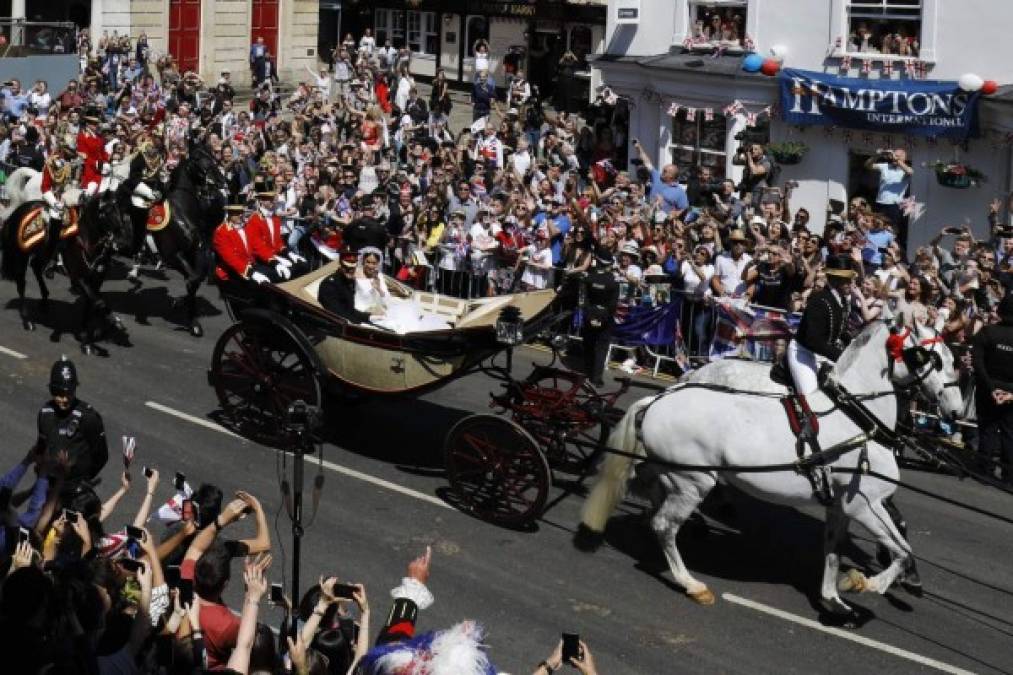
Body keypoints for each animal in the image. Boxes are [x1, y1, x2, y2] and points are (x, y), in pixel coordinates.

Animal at [583, 320, 960, 608]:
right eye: (935, 359)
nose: (956, 411)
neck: (857, 417)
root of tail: (658, 399)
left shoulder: (840, 505)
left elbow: (834, 550)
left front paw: (834, 597)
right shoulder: (864, 504)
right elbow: (902, 550)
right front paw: (868, 583)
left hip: (667, 474)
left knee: (648, 499)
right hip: (693, 481)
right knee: (664, 524)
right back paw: (691, 582)